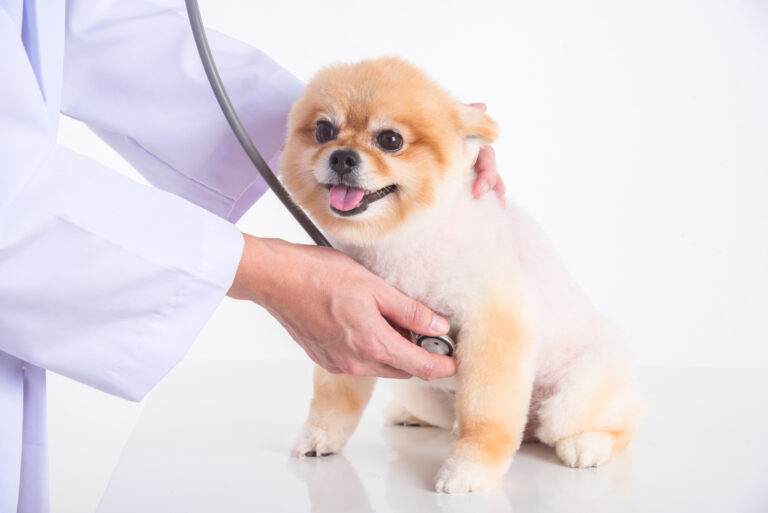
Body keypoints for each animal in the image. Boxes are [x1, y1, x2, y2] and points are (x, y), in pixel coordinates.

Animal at [280, 57, 640, 492]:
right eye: (324, 131)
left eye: (390, 140)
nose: (342, 158)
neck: (402, 238)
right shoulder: (354, 324)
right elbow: (335, 396)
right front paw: (320, 436)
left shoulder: (493, 327)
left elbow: (485, 416)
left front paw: (470, 469)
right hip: (416, 384)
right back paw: (409, 415)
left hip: (573, 398)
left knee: (617, 426)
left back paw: (589, 445)